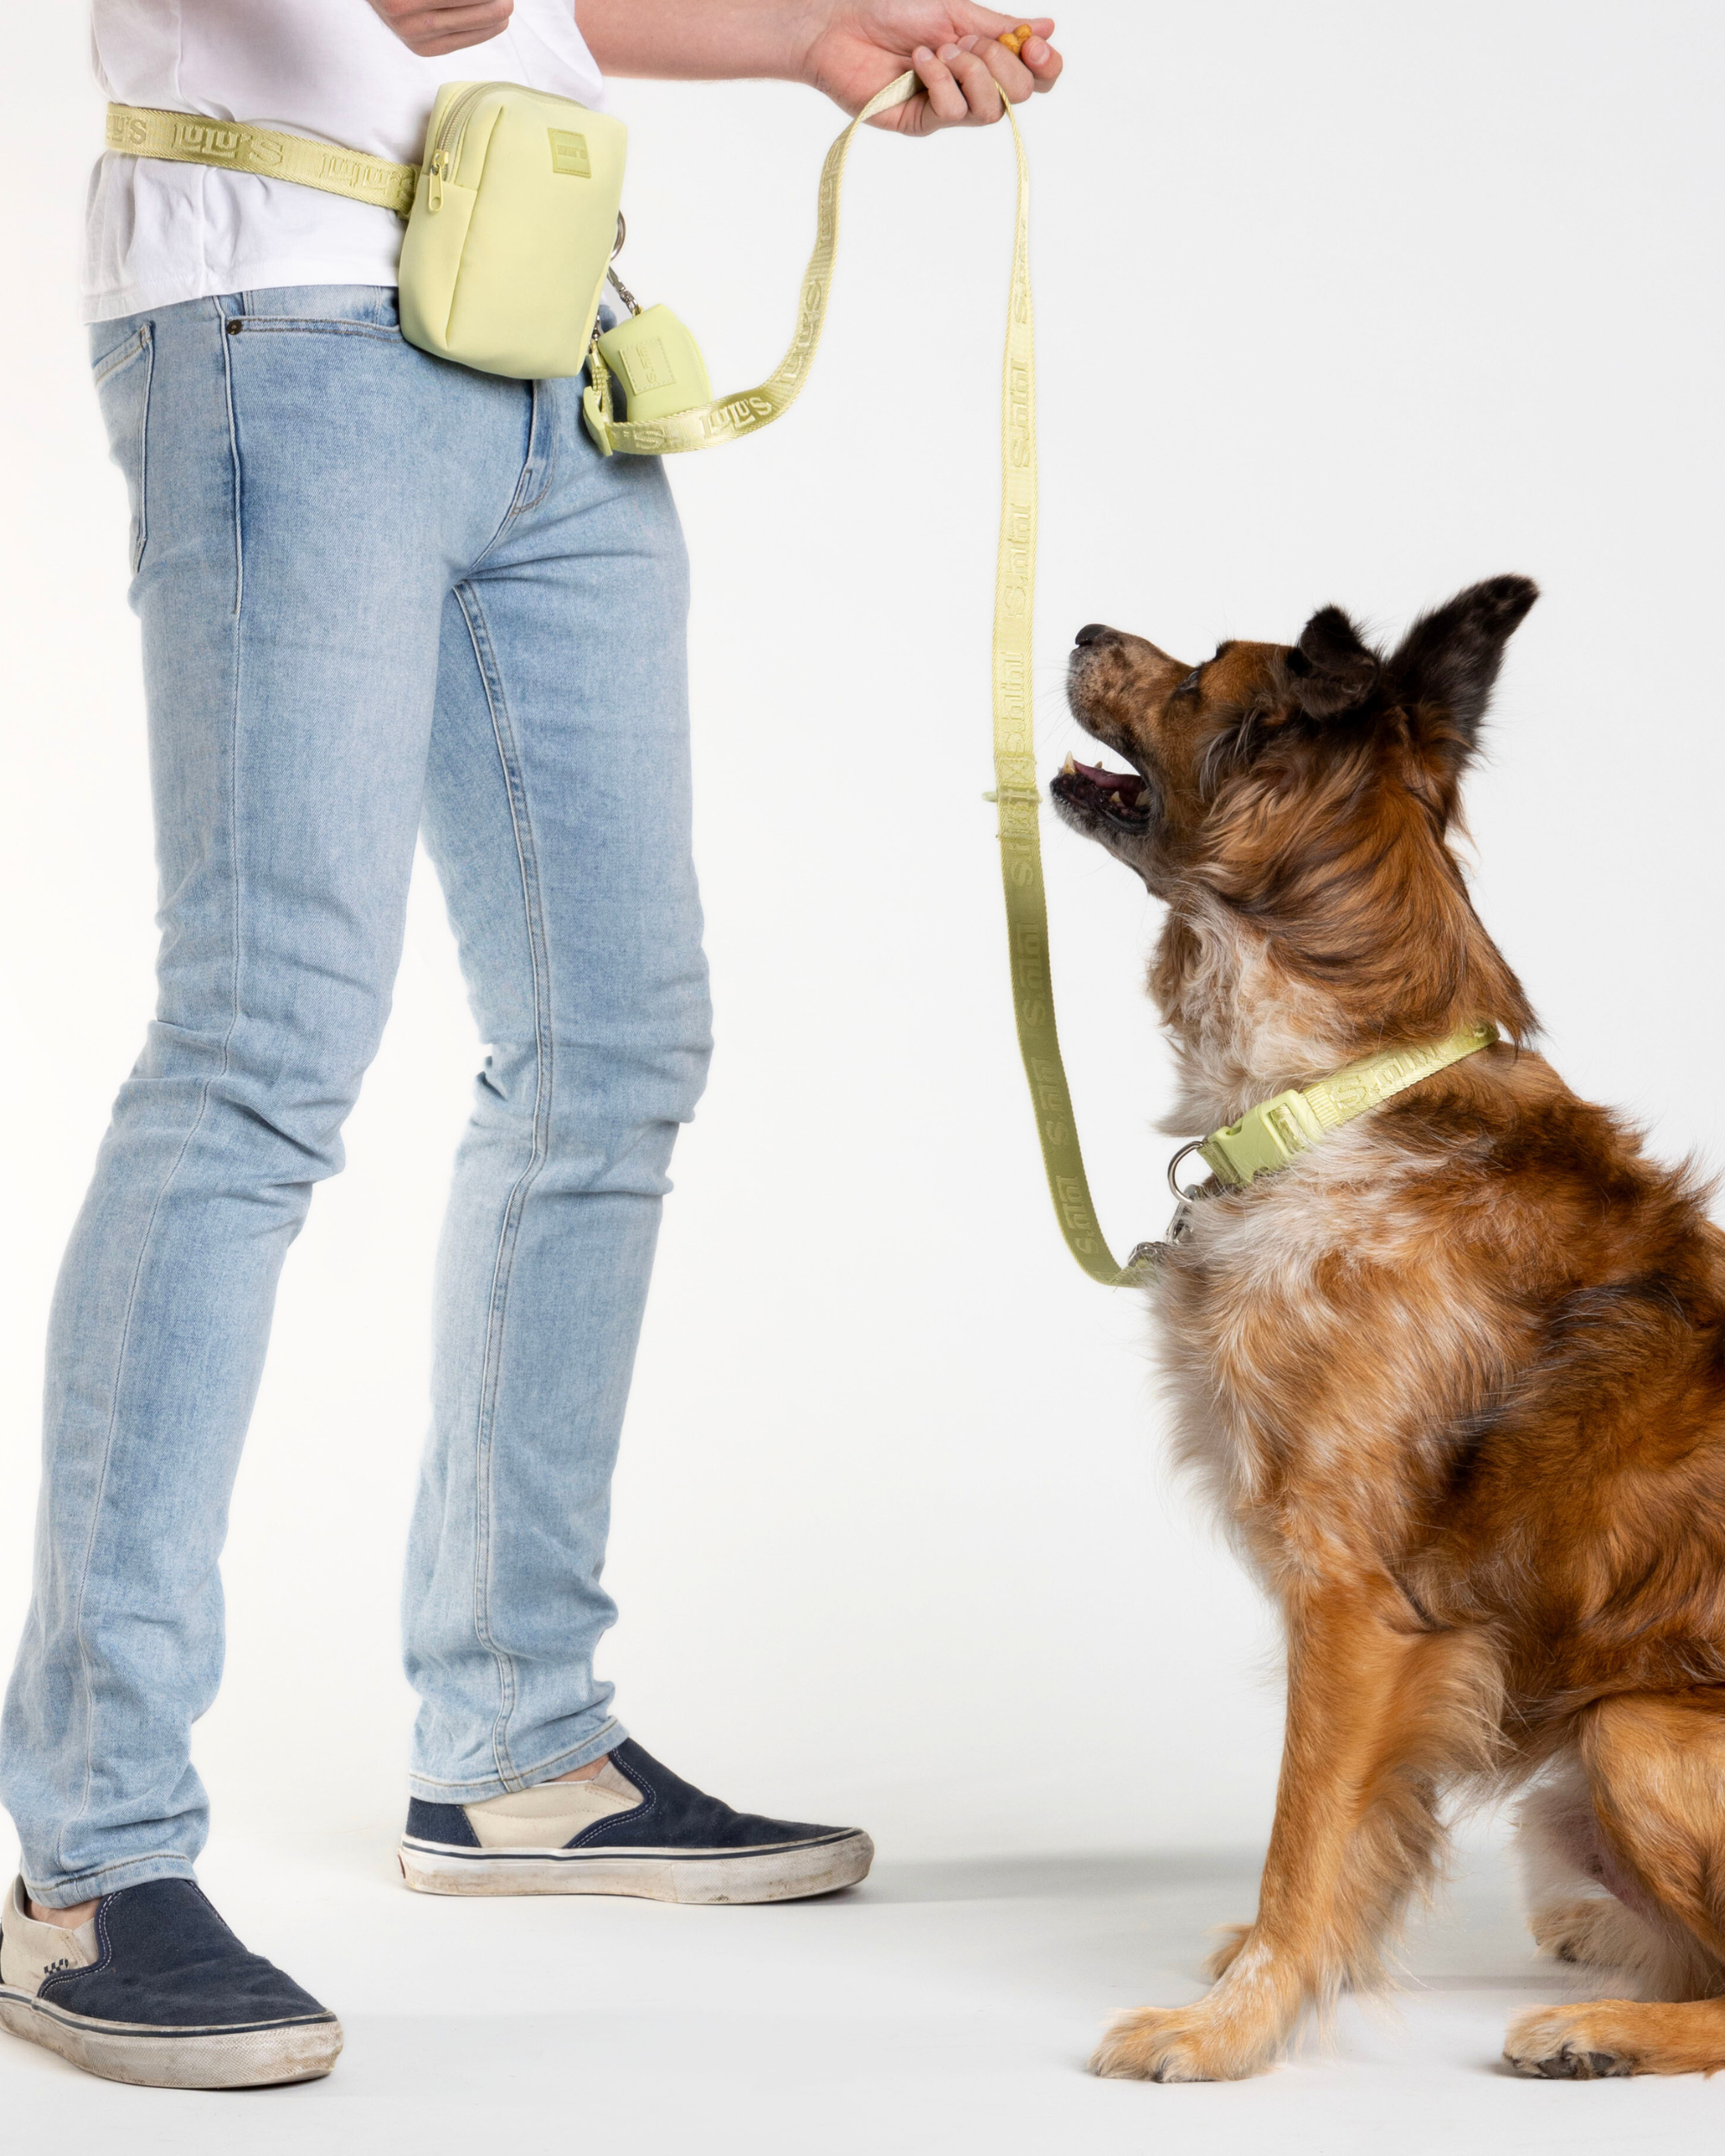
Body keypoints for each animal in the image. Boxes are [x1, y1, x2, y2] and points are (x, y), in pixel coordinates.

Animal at [1052, 582, 1725, 2078]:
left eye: (1203, 671)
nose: (1077, 633)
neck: (1336, 1095)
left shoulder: (1357, 1606)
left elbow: (1305, 1838)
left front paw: (1233, 2029)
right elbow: (1353, 1847)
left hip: (1635, 1730)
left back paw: (1595, 2030)